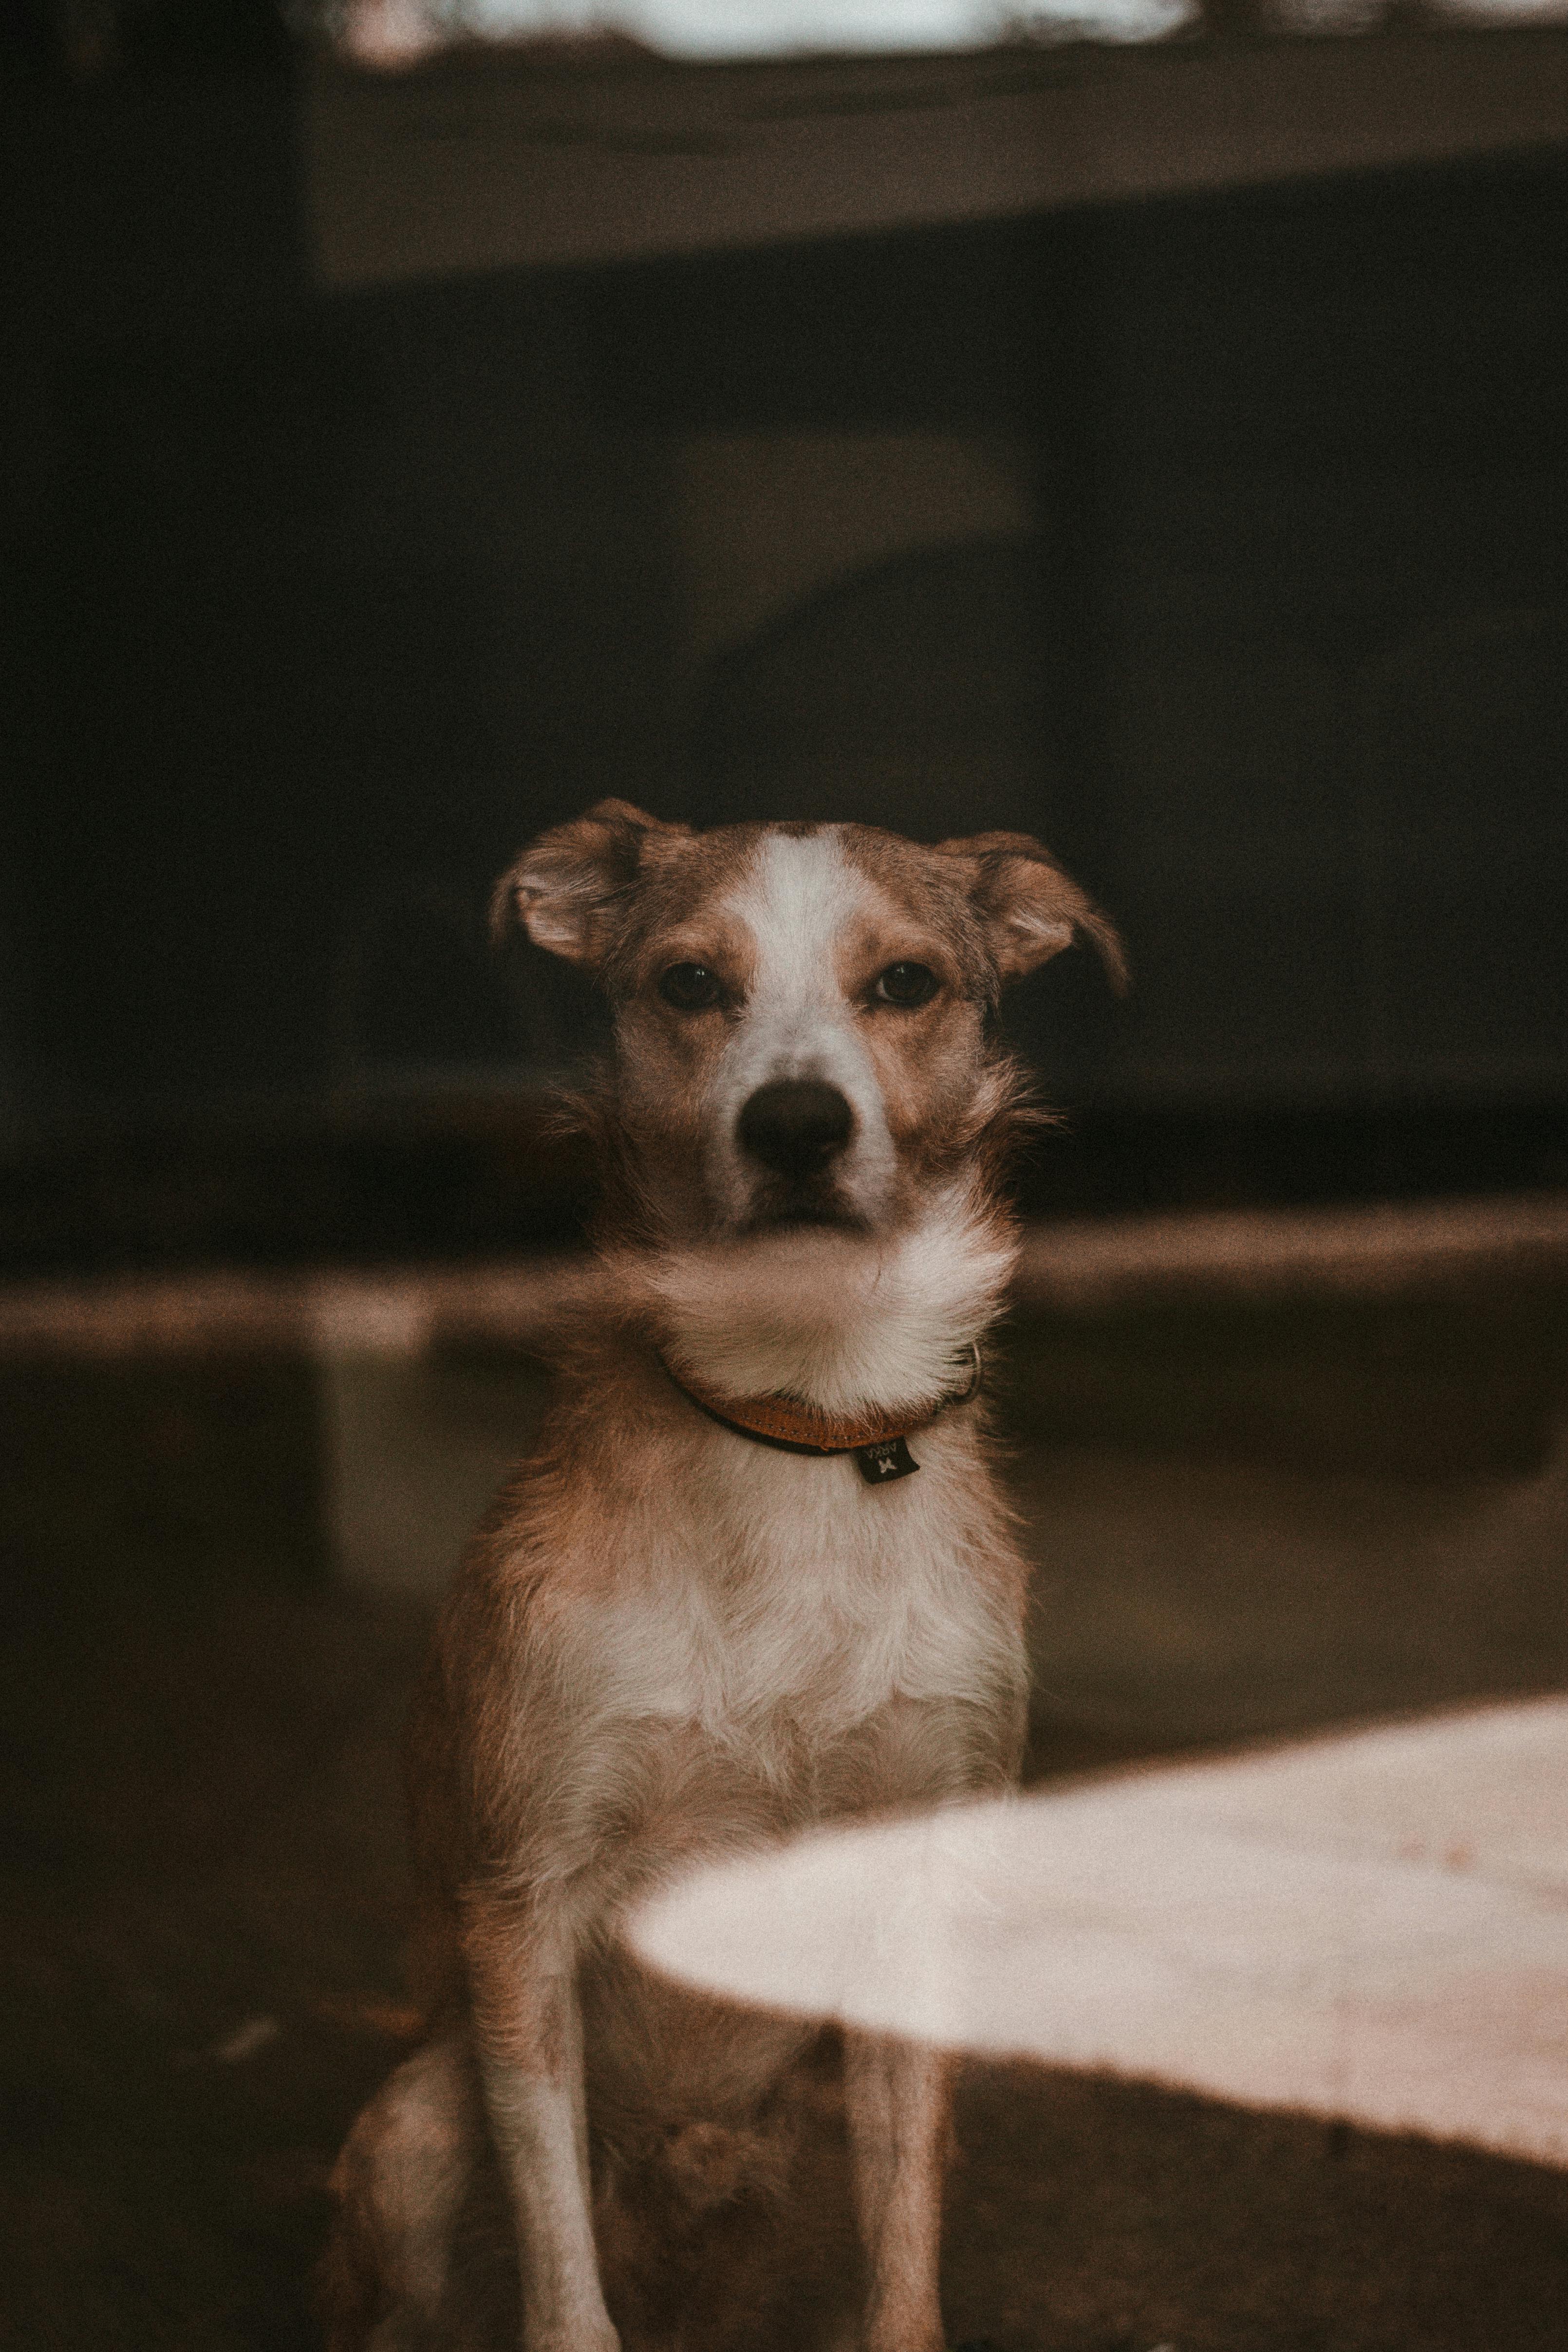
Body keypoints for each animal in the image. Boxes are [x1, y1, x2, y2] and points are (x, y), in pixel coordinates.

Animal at [322, 804, 1128, 2352]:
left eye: (905, 983)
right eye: (691, 982)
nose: (798, 1124)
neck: (798, 1423)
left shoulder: (917, 1884)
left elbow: (902, 2270)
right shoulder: (523, 1915)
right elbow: (563, 2281)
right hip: (412, 2131)